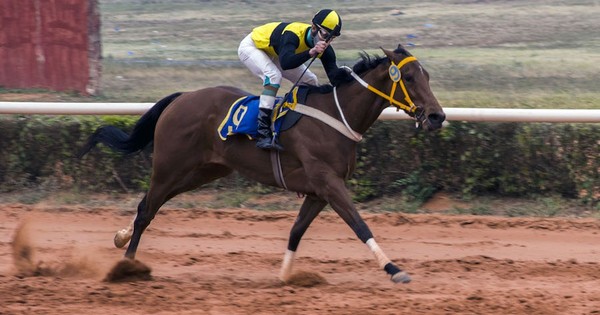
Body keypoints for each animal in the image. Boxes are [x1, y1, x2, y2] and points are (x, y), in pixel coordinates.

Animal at [79, 43, 446, 284]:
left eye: (427, 75)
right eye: (409, 77)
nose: (437, 116)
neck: (336, 116)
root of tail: (180, 97)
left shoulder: (318, 191)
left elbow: (297, 231)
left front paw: (284, 275)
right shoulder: (328, 182)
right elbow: (360, 225)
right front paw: (394, 269)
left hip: (201, 171)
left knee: (150, 205)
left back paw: (121, 238)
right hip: (171, 166)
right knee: (146, 209)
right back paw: (127, 266)